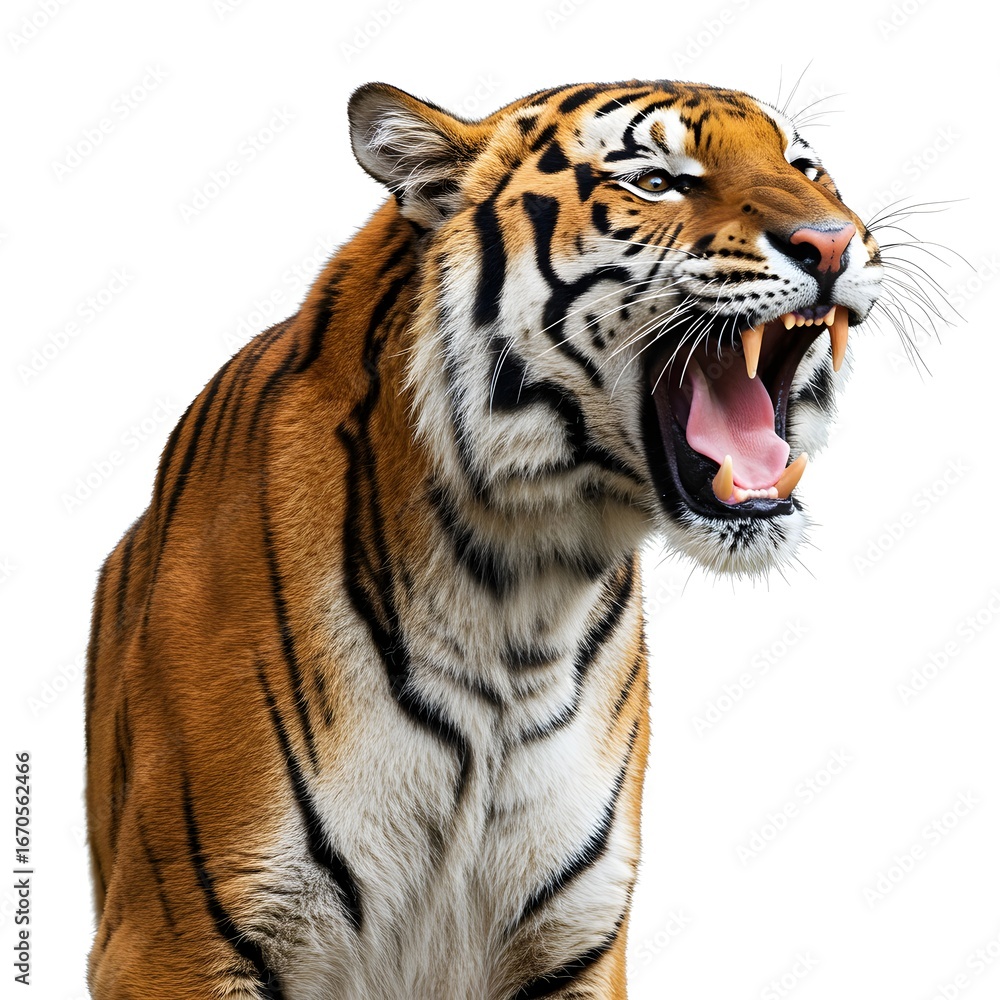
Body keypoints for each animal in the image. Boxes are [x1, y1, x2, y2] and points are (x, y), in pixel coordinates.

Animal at [85, 79, 883, 999]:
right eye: (655, 181)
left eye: (806, 168)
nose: (834, 241)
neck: (518, 590)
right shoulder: (179, 935)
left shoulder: (575, 936)